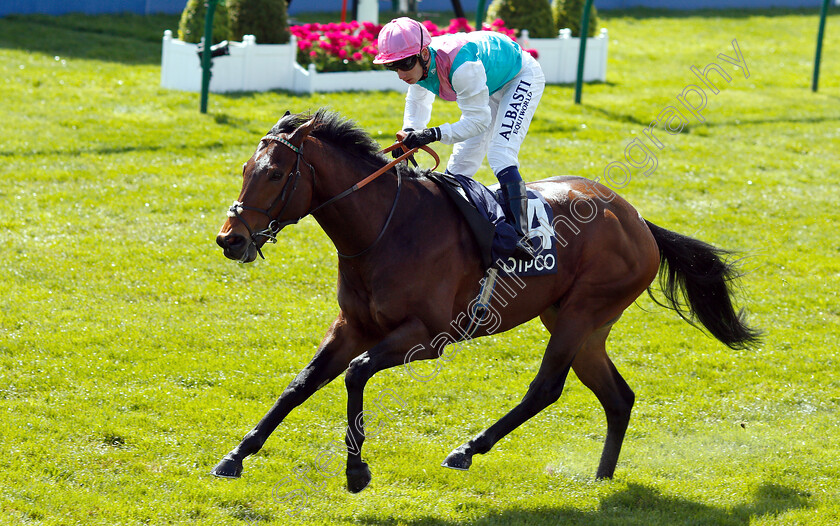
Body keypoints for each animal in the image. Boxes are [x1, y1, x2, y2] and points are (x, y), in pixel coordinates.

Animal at [212, 109, 760, 492]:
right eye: (244, 169)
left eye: (276, 175)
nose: (230, 239)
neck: (386, 229)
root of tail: (638, 219)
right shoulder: (352, 326)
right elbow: (300, 384)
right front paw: (236, 456)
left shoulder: (427, 336)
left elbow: (355, 374)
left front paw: (356, 471)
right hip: (580, 324)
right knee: (618, 396)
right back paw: (602, 476)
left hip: (582, 312)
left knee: (546, 389)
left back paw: (468, 449)